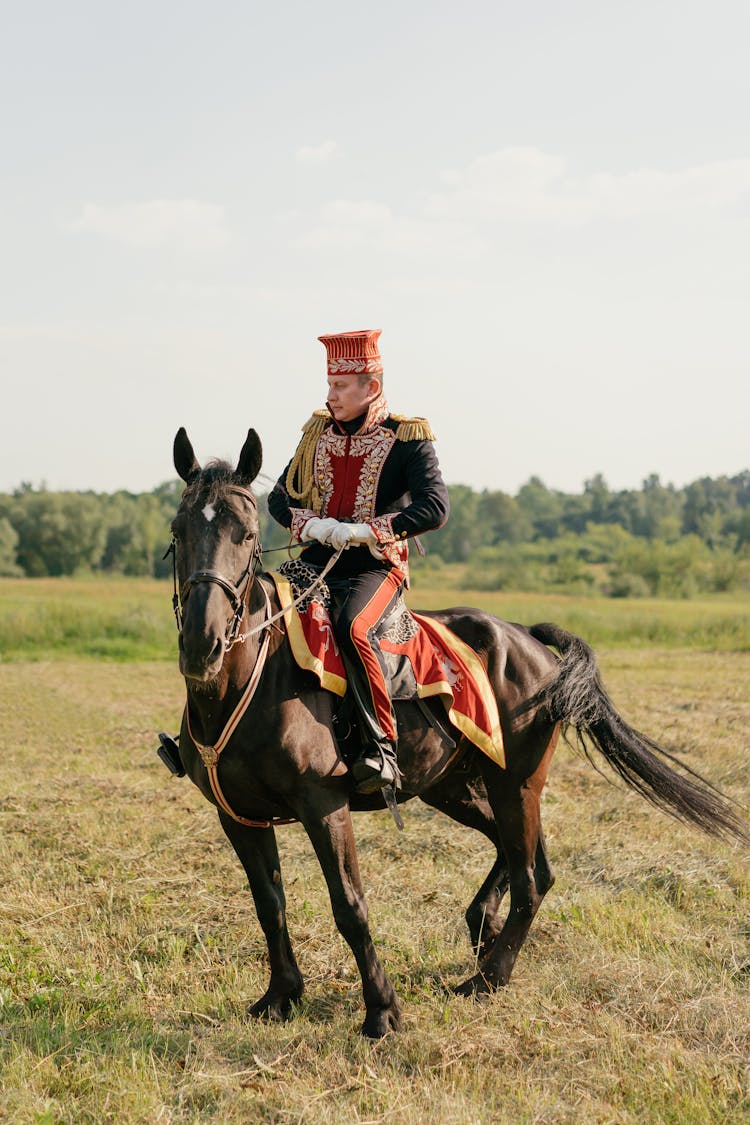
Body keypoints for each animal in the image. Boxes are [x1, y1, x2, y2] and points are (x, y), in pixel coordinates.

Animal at [167, 427, 746, 1035]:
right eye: (178, 531)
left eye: (247, 532)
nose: (203, 646)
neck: (250, 680)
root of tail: (529, 640)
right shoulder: (239, 816)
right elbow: (268, 906)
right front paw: (281, 996)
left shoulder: (324, 805)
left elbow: (349, 906)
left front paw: (382, 1011)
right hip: (456, 787)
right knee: (524, 859)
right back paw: (483, 929)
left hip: (516, 783)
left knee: (531, 877)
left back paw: (489, 977)